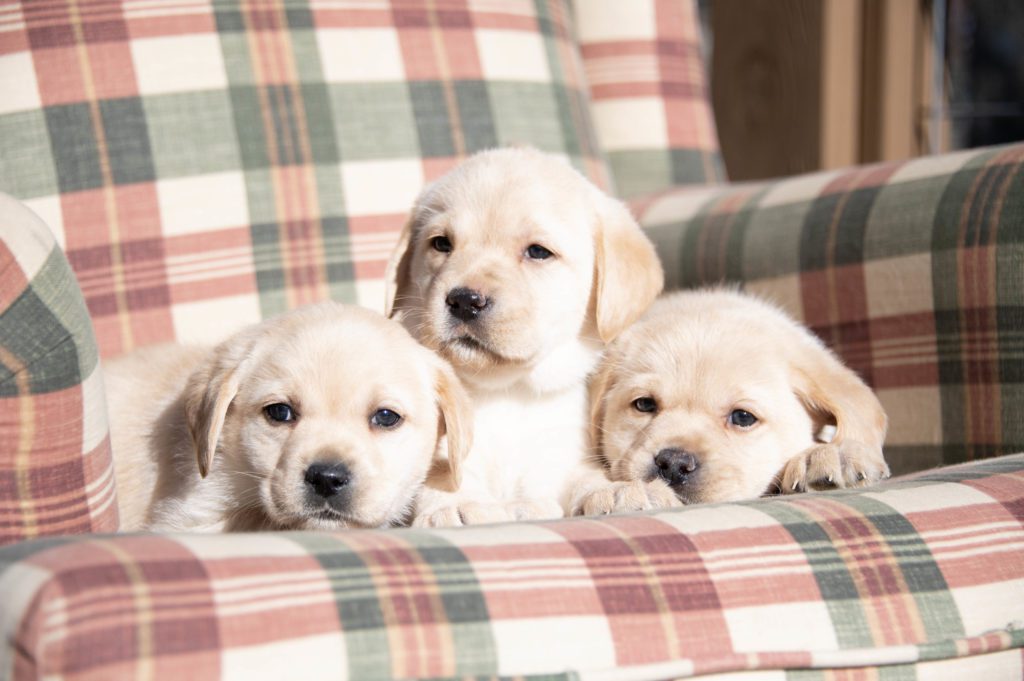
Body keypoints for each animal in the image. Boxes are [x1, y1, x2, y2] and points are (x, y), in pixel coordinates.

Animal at [385, 146, 663, 522]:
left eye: (538, 252)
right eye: (441, 244)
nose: (464, 300)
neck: (507, 390)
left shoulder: (560, 457)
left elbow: (585, 477)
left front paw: (613, 490)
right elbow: (442, 478)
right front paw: (457, 503)